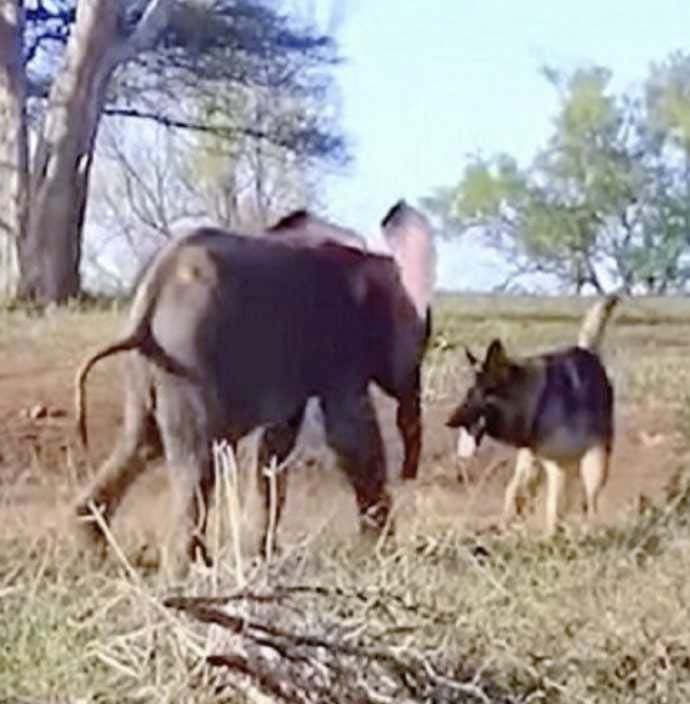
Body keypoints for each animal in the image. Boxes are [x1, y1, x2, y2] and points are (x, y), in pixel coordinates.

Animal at [446, 296, 620, 532]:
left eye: (481, 395)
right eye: (468, 395)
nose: (449, 421)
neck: (537, 401)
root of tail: (588, 353)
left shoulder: (563, 467)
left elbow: (555, 508)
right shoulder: (546, 464)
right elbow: (519, 496)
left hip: (593, 463)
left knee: (588, 500)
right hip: (531, 464)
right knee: (519, 489)